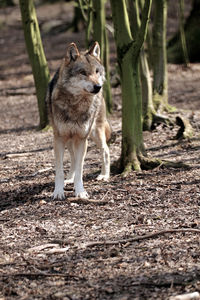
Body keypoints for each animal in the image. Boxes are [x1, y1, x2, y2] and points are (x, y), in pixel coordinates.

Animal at [46, 41, 110, 199]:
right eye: (83, 73)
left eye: (97, 71)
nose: (98, 87)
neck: (76, 104)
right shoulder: (59, 138)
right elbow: (59, 170)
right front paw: (58, 191)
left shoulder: (82, 139)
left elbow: (80, 170)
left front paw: (80, 192)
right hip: (70, 139)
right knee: (73, 158)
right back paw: (69, 179)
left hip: (95, 133)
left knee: (105, 150)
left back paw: (104, 175)